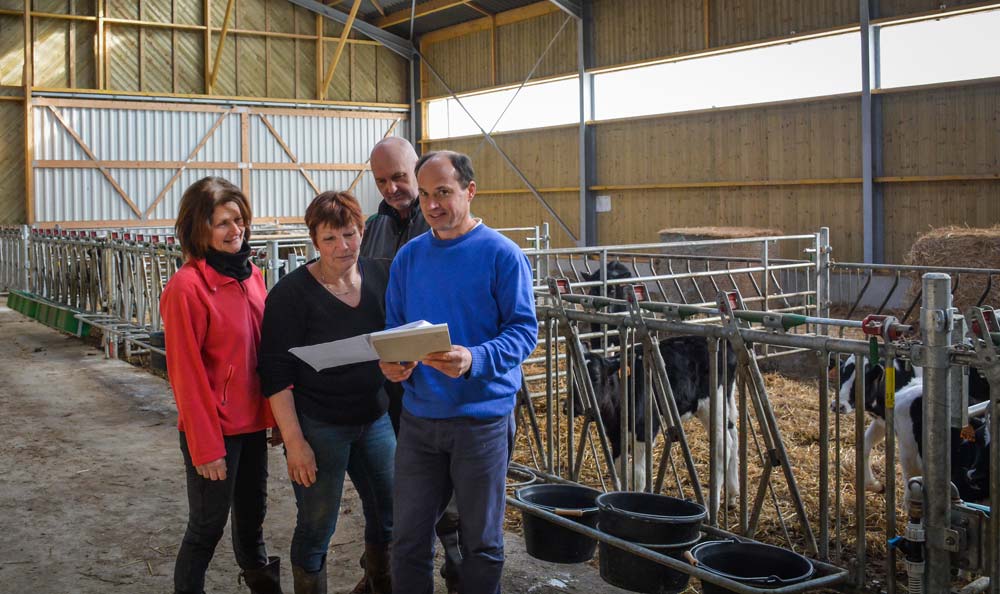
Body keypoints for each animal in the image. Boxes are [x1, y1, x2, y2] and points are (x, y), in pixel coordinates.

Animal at [580, 336, 744, 502]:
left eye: (595, 377)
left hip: (711, 404)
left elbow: (638, 475)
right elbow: (620, 468)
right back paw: (732, 494)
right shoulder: (615, 434)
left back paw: (714, 501)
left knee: (723, 444)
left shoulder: (645, 430)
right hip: (725, 402)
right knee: (733, 434)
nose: (575, 406)